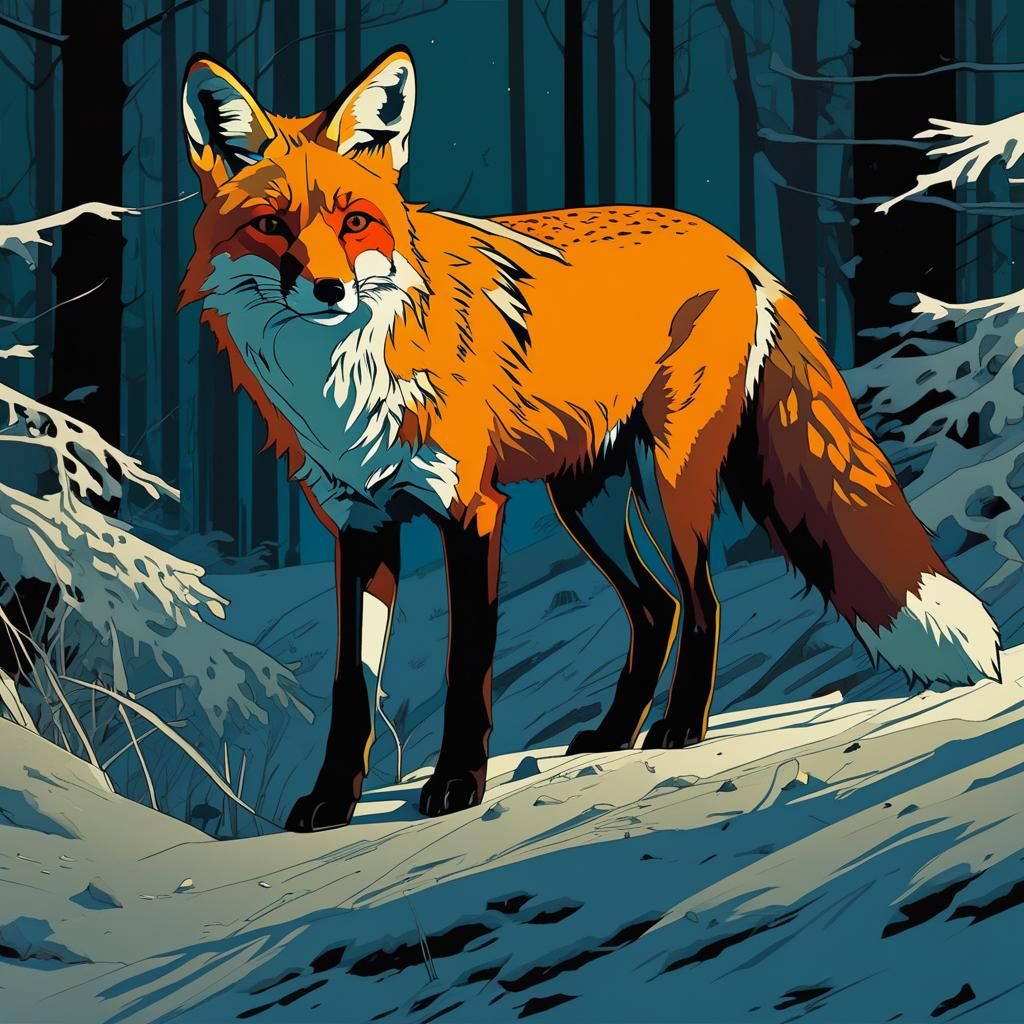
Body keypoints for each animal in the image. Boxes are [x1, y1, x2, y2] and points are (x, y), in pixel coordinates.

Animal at [180, 47, 1000, 831]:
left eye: (355, 223)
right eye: (273, 225)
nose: (330, 291)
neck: (345, 386)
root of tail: (733, 246)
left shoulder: (470, 509)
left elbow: (467, 663)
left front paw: (457, 786)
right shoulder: (361, 523)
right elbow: (353, 685)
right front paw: (330, 806)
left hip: (670, 479)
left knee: (702, 603)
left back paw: (679, 731)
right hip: (585, 498)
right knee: (656, 607)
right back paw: (612, 736)